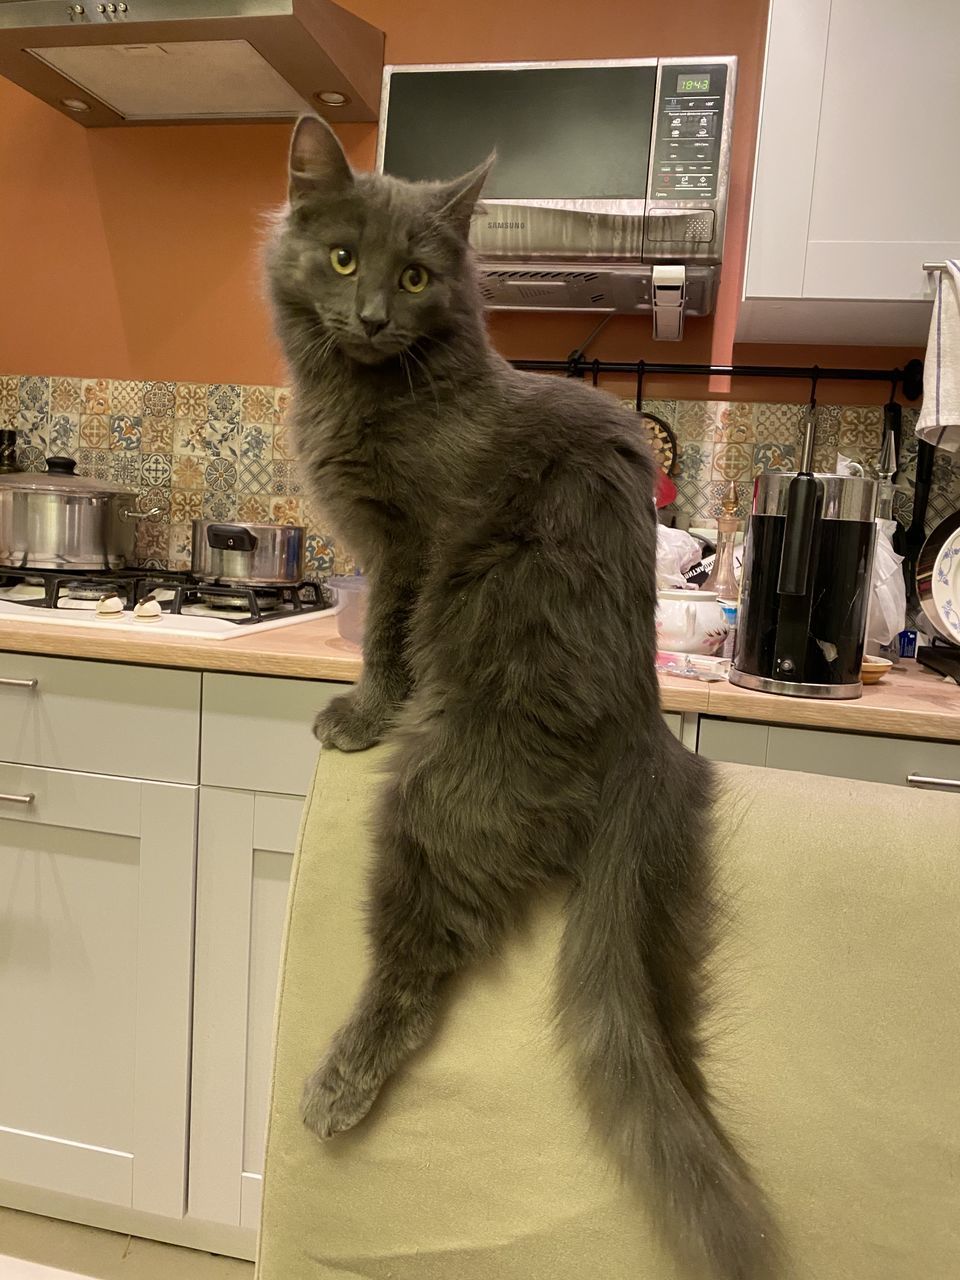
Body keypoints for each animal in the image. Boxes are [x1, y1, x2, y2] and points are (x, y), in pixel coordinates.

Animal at [264, 115, 783, 1274]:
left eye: (415, 275)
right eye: (343, 259)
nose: (374, 315)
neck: (372, 391)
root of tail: (648, 728)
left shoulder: (412, 543)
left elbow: (388, 634)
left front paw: (362, 712)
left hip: (441, 796)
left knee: (420, 965)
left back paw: (335, 1088)